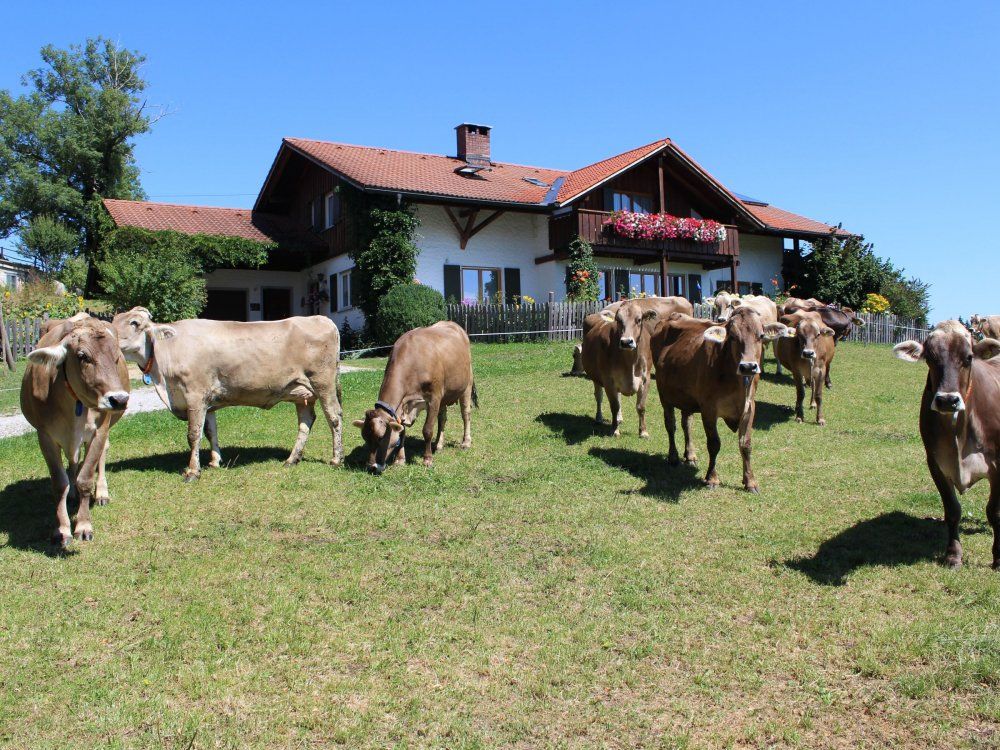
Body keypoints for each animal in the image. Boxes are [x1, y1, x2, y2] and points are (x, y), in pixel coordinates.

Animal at [20, 314, 130, 546]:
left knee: (101, 454)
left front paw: (84, 525)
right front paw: (62, 529)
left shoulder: (99, 431)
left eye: (116, 356)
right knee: (73, 462)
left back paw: (101, 493)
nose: (119, 399)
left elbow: (85, 479)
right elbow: (59, 483)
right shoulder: (45, 436)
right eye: (82, 356)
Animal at [111, 308, 343, 480]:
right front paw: (215, 462)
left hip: (323, 382)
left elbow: (193, 434)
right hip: (302, 392)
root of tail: (322, 319)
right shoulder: (208, 401)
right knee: (306, 421)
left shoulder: (195, 394)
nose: (108, 336)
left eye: (134, 323)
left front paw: (193, 471)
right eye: (113, 320)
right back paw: (291, 459)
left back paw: (336, 459)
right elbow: (210, 431)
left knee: (334, 417)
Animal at [353, 321, 475, 475]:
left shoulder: (434, 398)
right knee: (442, 418)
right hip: (445, 395)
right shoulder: (403, 406)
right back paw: (439, 444)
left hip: (466, 385)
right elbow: (402, 432)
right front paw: (400, 460)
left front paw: (427, 460)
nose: (371, 467)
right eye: (365, 438)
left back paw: (466, 442)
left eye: (381, 437)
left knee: (466, 414)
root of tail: (453, 324)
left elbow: (427, 430)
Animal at [650, 307, 789, 493]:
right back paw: (673, 457)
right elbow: (714, 443)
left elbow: (745, 444)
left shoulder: (749, 407)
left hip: (687, 398)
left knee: (686, 424)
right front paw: (712, 478)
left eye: (760, 335)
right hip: (664, 395)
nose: (748, 366)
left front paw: (750, 481)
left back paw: (690, 455)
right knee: (670, 425)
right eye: (732, 337)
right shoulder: (708, 409)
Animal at [894, 321, 1000, 568]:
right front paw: (953, 555)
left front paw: (998, 557)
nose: (947, 400)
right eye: (930, 357)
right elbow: (952, 510)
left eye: (969, 357)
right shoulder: (935, 462)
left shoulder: (998, 464)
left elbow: (994, 512)